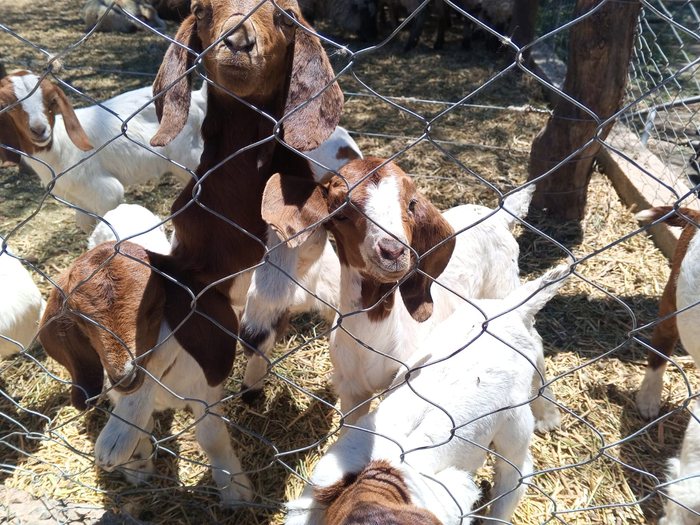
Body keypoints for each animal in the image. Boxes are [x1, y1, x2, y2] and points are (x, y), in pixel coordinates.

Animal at [0, 70, 206, 231]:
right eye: (9, 106)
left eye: (51, 101)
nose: (39, 130)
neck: (58, 148)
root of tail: (197, 98)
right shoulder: (81, 202)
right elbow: (86, 226)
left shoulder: (105, 193)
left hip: (188, 155)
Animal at [261, 157, 559, 430]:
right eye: (341, 213)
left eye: (410, 205)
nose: (393, 251)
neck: (376, 332)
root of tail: (498, 216)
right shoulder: (352, 389)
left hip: (503, 286)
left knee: (532, 335)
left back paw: (547, 415)